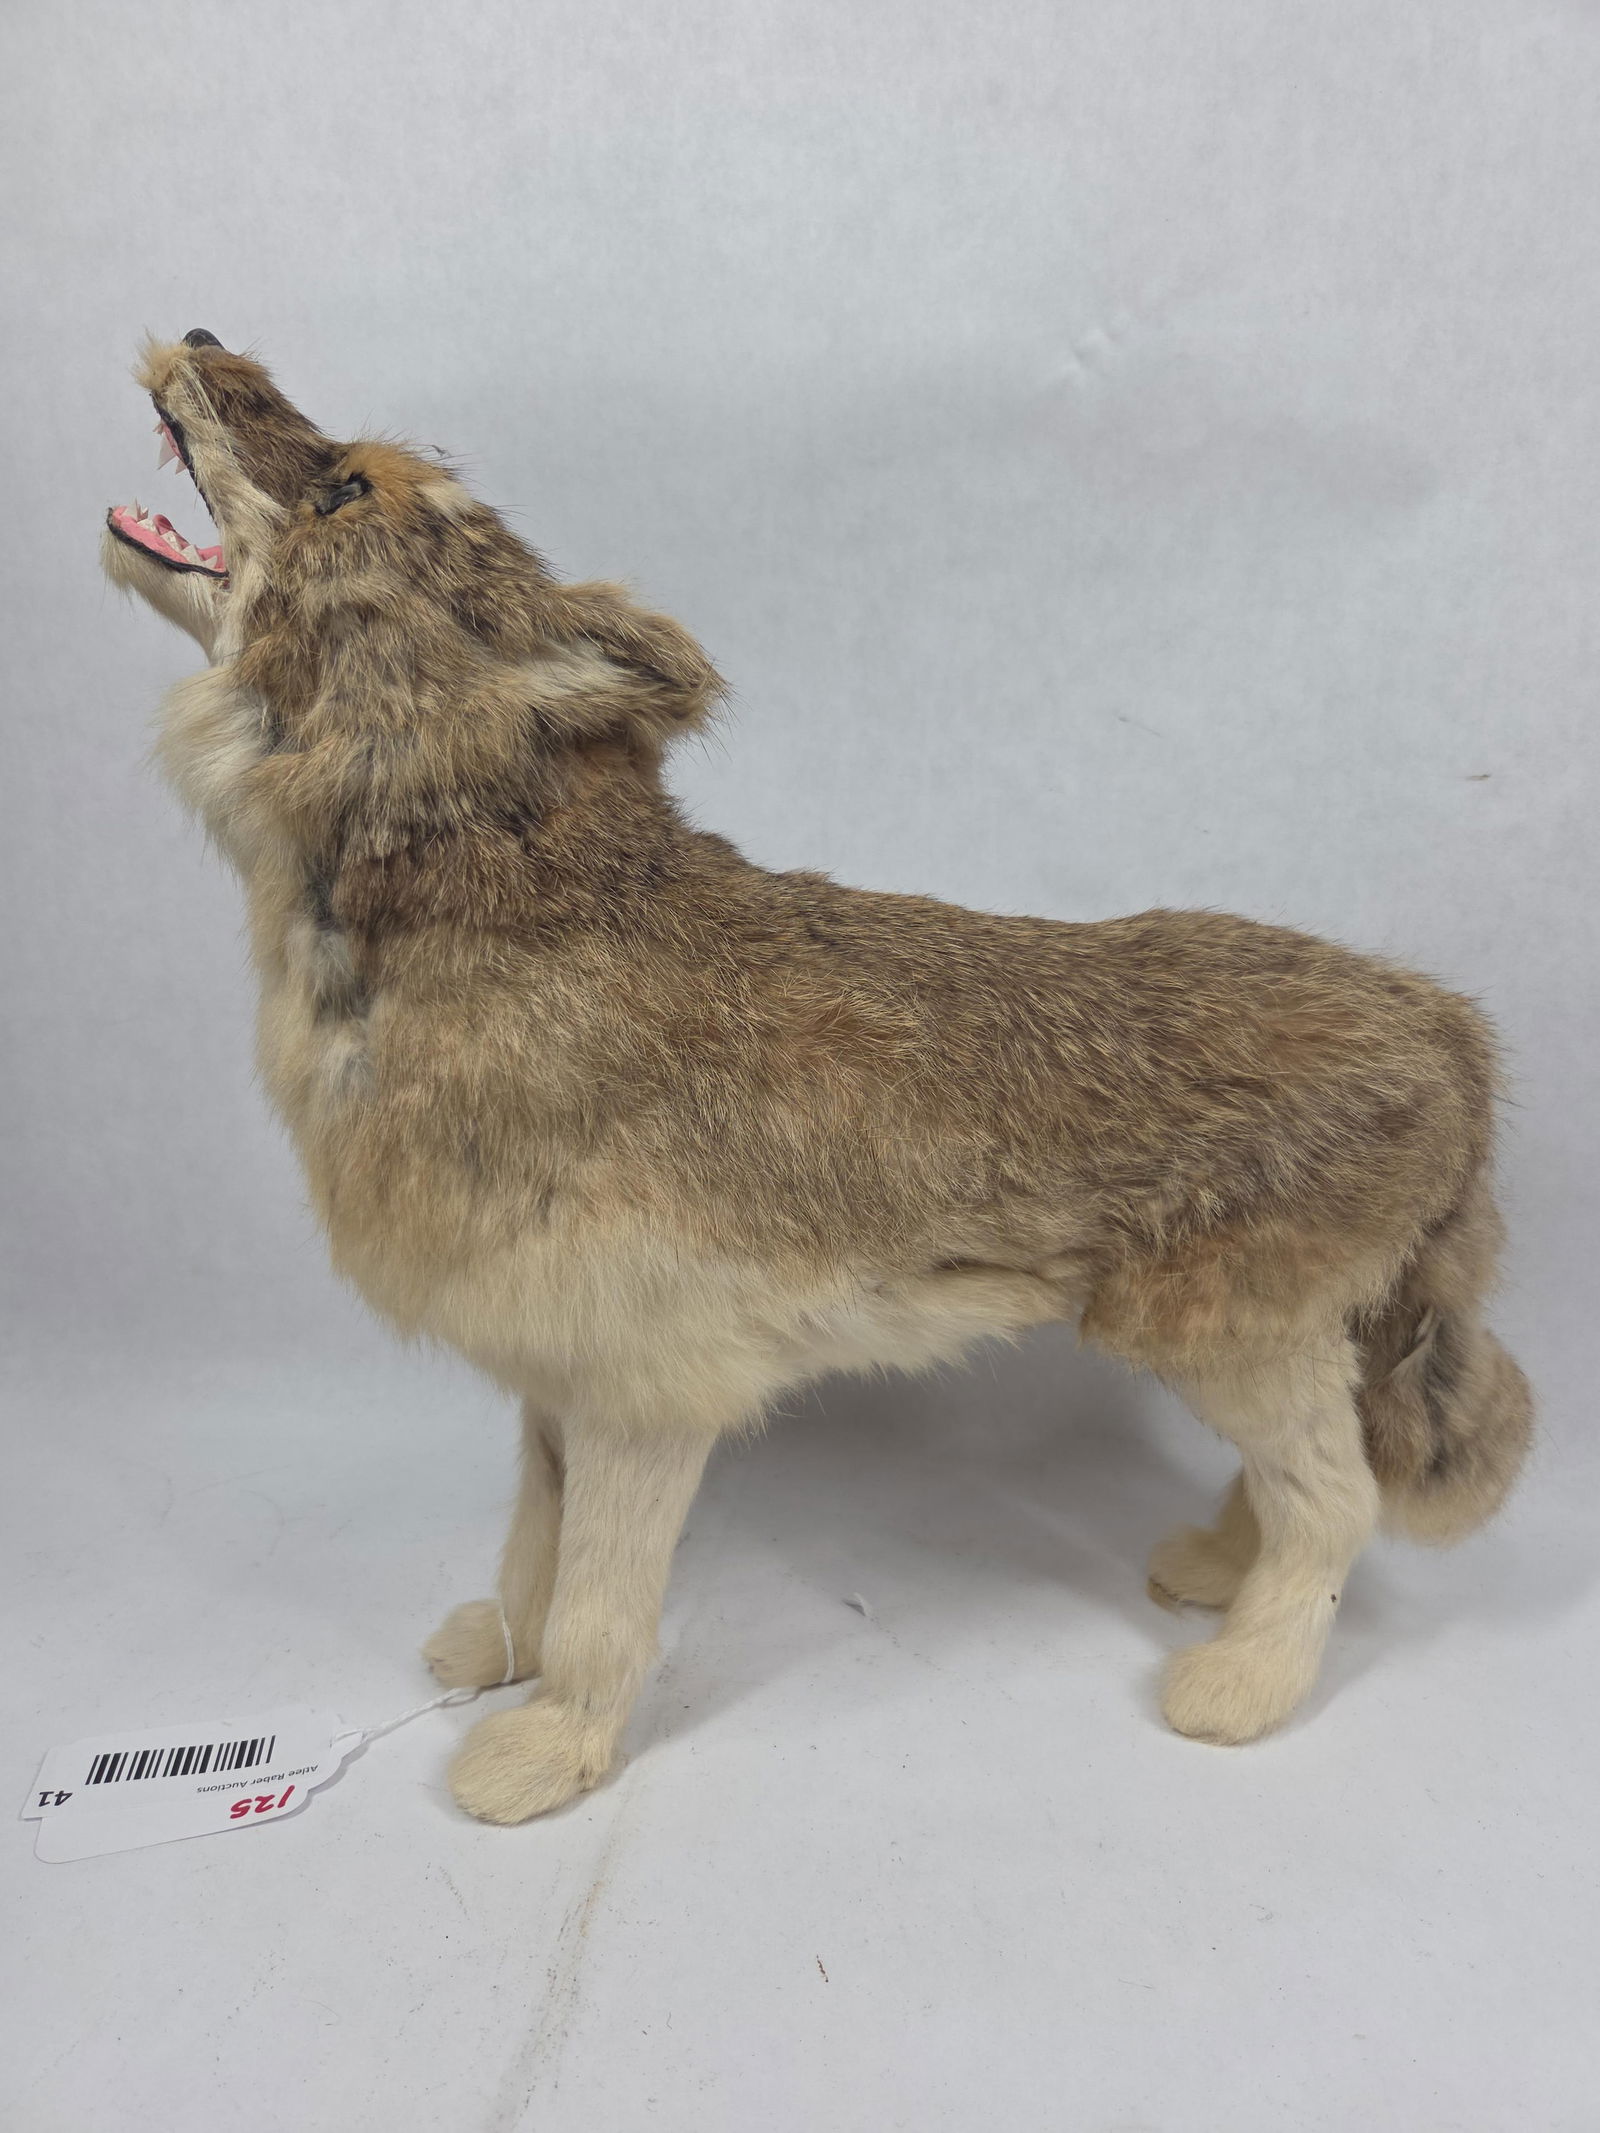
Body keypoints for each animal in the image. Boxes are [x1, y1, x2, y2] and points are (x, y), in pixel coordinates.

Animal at [103, 330, 1531, 1822]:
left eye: (346, 489)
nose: (199, 340)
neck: (474, 909)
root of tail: (1447, 1025)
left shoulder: (644, 1394)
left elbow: (599, 1610)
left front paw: (549, 1754)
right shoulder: (553, 1380)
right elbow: (529, 1558)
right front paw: (496, 1657)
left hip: (1222, 1337)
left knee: (1341, 1499)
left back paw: (1241, 1681)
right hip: (1259, 1346)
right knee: (1318, 1468)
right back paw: (1210, 1566)